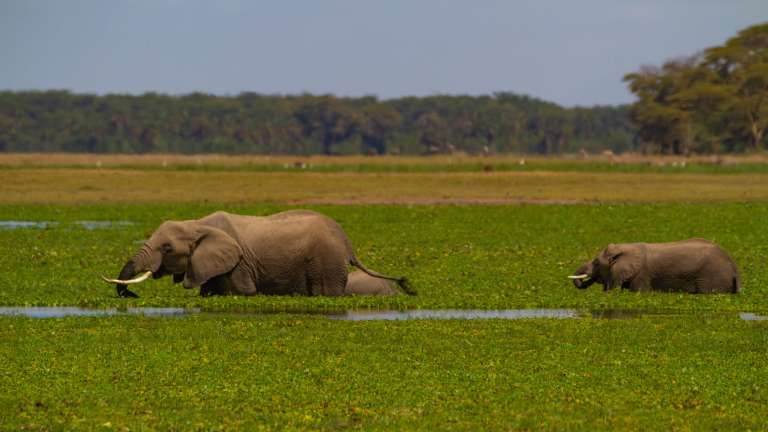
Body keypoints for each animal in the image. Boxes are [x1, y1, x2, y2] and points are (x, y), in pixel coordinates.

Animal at [102, 210, 414, 297]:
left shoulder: (238, 264)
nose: (132, 296)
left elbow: (244, 293)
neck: (197, 224)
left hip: (326, 261)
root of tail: (347, 242)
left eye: (167, 248)